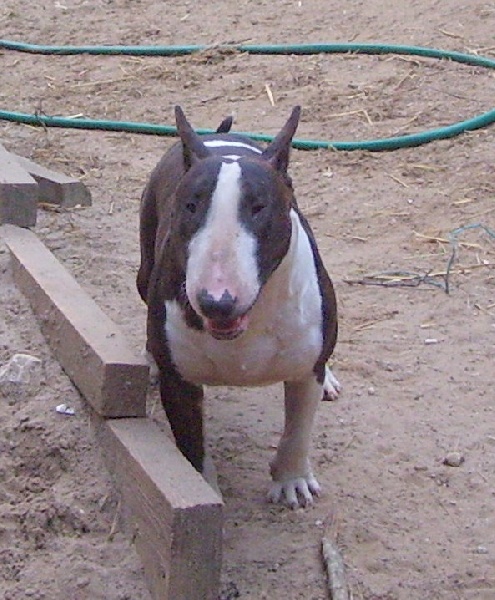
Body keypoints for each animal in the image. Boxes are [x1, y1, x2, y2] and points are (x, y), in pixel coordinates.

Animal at [137, 106, 340, 508]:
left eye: (259, 207)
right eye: (191, 205)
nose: (216, 302)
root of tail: (216, 135)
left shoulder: (305, 370)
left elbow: (298, 428)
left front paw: (292, 480)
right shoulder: (179, 383)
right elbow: (192, 447)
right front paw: (203, 490)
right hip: (143, 270)